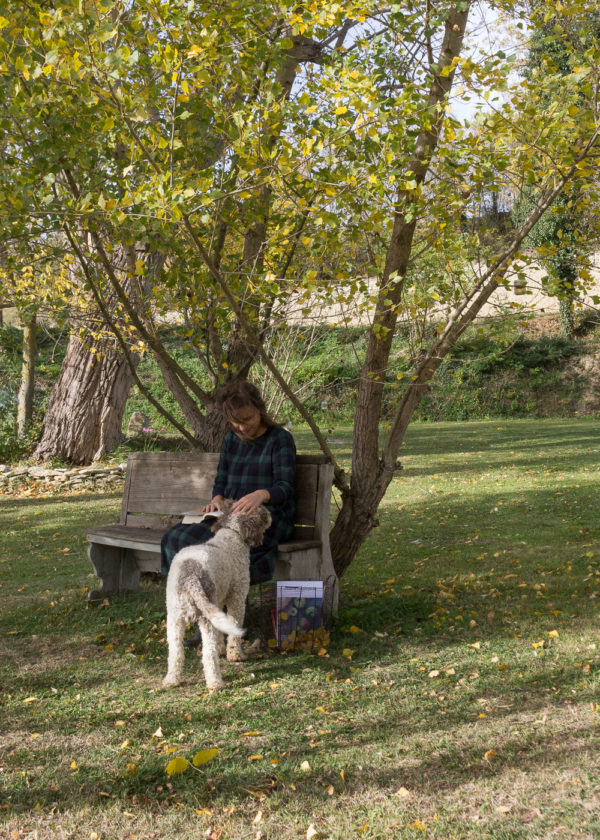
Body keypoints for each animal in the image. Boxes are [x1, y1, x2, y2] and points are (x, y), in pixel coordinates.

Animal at [162, 498, 270, 688]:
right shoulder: (237, 598)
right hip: (205, 617)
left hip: (175, 616)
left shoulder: (218, 602)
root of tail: (190, 576)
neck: (232, 533)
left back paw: (171, 680)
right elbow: (234, 628)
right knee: (208, 653)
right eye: (261, 511)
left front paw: (222, 648)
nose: (270, 515)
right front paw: (235, 655)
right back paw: (216, 683)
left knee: (176, 651)